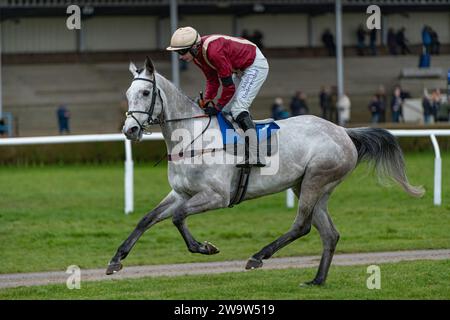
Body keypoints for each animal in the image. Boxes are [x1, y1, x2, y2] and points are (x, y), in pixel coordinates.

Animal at [106, 58, 426, 284]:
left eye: (145, 91)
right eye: (128, 93)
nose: (129, 130)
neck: (193, 137)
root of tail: (343, 131)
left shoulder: (217, 196)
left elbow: (178, 217)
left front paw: (205, 248)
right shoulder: (180, 192)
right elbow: (147, 219)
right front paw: (116, 259)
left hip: (316, 179)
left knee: (302, 226)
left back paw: (259, 256)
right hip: (311, 186)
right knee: (329, 234)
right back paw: (317, 280)